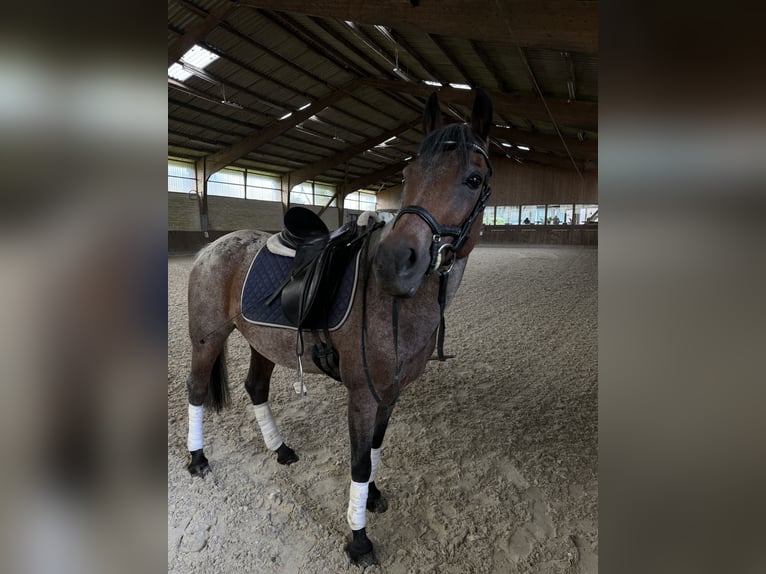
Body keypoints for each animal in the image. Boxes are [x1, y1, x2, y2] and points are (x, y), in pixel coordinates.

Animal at [188, 90, 498, 568]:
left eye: (473, 178)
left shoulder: (390, 393)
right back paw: (197, 458)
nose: (395, 262)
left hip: (262, 341)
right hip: (207, 338)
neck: (396, 305)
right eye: (408, 174)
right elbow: (358, 461)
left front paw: (372, 497)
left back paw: (280, 449)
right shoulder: (362, 393)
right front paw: (359, 540)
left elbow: (374, 450)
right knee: (197, 390)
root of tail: (212, 246)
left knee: (255, 388)